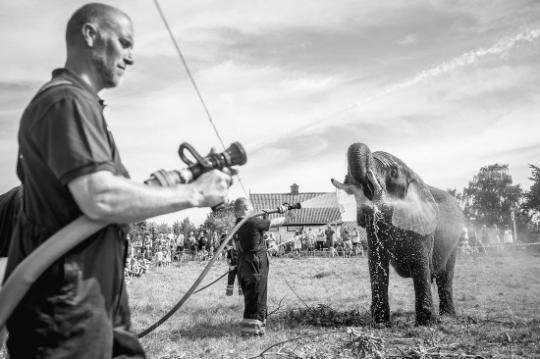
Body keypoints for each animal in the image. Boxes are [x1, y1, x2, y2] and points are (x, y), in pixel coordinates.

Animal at [334, 143, 464, 326]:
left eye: (393, 173)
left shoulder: (421, 226)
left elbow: (419, 263)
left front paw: (426, 323)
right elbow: (376, 263)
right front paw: (380, 323)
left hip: (455, 242)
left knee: (445, 275)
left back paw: (447, 317)